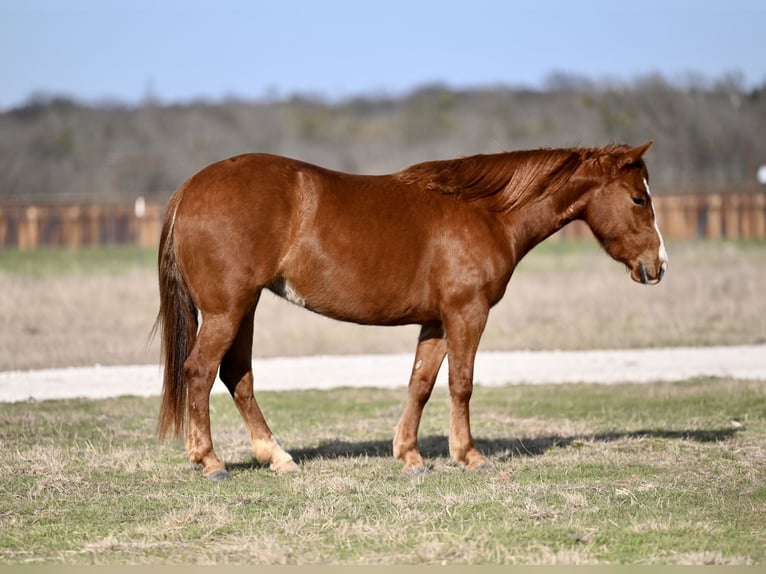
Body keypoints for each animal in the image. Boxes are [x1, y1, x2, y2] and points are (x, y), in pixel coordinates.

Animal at [154, 143, 664, 482]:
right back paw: (211, 462)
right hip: (228, 309)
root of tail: (189, 189)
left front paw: (411, 456)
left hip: (245, 307)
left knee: (236, 375)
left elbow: (421, 384)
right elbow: (461, 384)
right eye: (639, 198)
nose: (657, 266)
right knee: (200, 371)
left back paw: (276, 456)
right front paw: (469, 455)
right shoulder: (467, 313)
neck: (486, 213)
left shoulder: (436, 322)